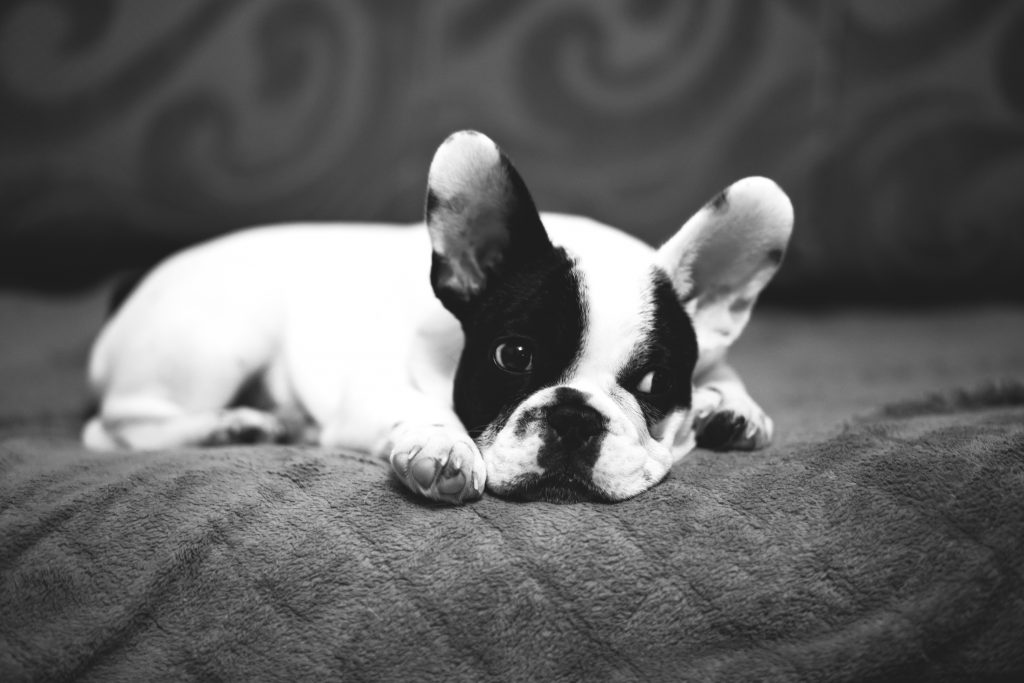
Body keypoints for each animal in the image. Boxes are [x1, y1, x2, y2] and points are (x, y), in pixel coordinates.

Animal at [83, 131, 794, 505]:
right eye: (512, 356)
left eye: (653, 384)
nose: (573, 415)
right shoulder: (370, 392)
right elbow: (419, 408)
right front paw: (443, 445)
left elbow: (725, 372)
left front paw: (731, 406)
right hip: (219, 341)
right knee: (115, 428)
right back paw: (235, 425)